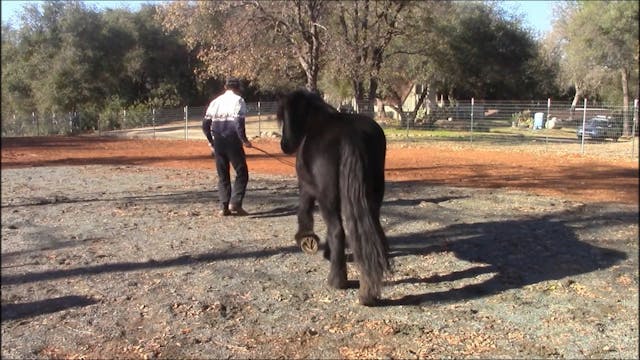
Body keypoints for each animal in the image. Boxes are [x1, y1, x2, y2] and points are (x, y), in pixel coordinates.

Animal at [276, 90, 388, 306]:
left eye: (283, 116)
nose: (284, 144)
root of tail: (351, 136)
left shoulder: (308, 187)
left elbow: (304, 209)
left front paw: (305, 238)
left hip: (327, 196)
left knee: (337, 230)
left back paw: (337, 280)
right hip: (372, 196)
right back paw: (368, 291)